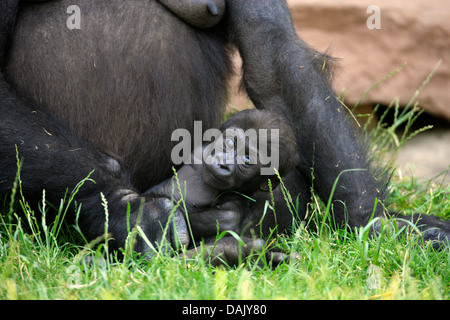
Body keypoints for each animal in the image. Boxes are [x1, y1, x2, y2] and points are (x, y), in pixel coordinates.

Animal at [145, 109, 298, 241]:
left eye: (247, 160)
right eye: (230, 143)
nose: (224, 164)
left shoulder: (239, 195)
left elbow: (229, 218)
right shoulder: (200, 151)